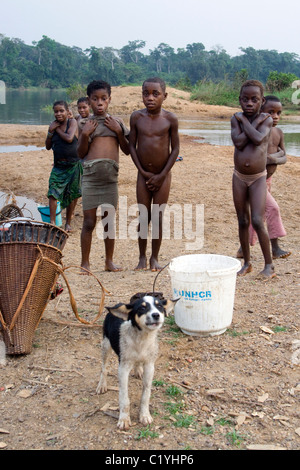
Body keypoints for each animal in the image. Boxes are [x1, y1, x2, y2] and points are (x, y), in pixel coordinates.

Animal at [96, 296, 177, 432]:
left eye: (159, 306)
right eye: (142, 308)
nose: (156, 315)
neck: (142, 339)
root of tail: (118, 304)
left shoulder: (150, 366)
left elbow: (146, 395)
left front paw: (144, 415)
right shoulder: (123, 368)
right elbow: (124, 398)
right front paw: (124, 419)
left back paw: (138, 370)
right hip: (106, 346)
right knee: (104, 368)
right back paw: (102, 384)